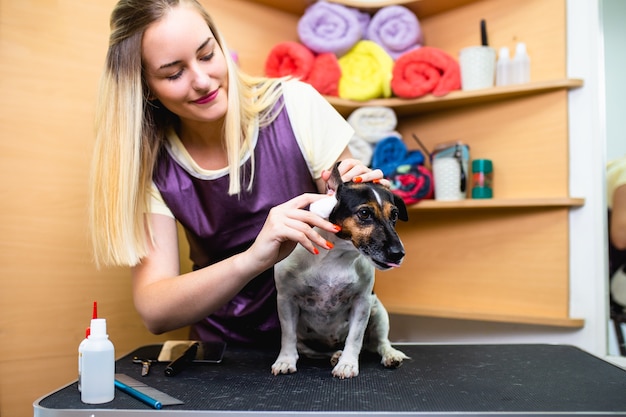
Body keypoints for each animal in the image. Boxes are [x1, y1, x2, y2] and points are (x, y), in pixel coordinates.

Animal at [270, 164, 408, 378]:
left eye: (394, 215)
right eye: (365, 213)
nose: (398, 254)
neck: (336, 257)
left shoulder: (362, 303)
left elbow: (355, 338)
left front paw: (347, 364)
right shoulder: (286, 300)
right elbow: (288, 336)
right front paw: (285, 360)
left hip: (378, 312)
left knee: (380, 343)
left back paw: (388, 354)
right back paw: (335, 354)